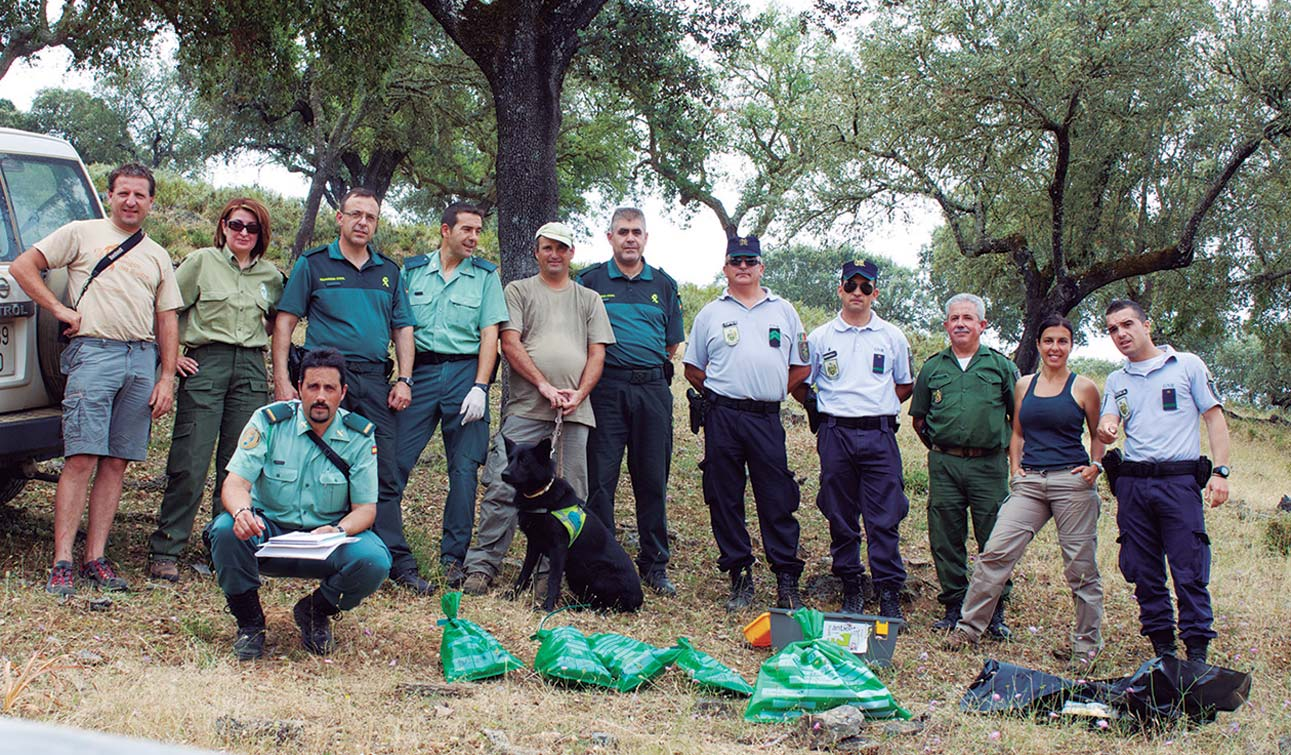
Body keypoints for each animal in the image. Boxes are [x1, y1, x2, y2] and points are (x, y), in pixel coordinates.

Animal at [503, 436, 645, 611]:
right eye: (510, 459)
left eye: (524, 461)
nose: (504, 474)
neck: (541, 494)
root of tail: (639, 599)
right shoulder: (534, 545)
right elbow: (524, 572)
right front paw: (513, 595)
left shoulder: (558, 548)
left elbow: (553, 579)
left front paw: (547, 607)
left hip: (595, 572)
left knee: (605, 604)